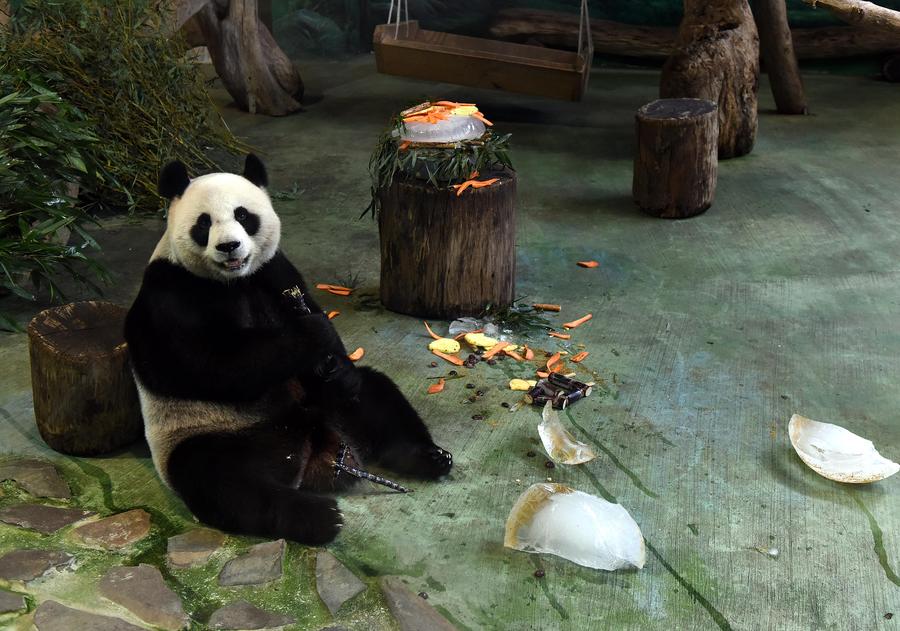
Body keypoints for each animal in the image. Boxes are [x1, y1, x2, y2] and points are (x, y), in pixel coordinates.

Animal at [124, 154, 453, 545]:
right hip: (210, 436)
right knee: (225, 483)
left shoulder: (275, 270)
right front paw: (311, 332)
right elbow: (206, 365)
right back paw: (319, 518)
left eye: (243, 215)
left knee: (376, 396)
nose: (229, 246)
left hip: (327, 407)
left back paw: (427, 457)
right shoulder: (171, 294)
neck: (233, 281)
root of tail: (314, 451)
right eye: (204, 223)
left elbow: (313, 320)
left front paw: (333, 363)